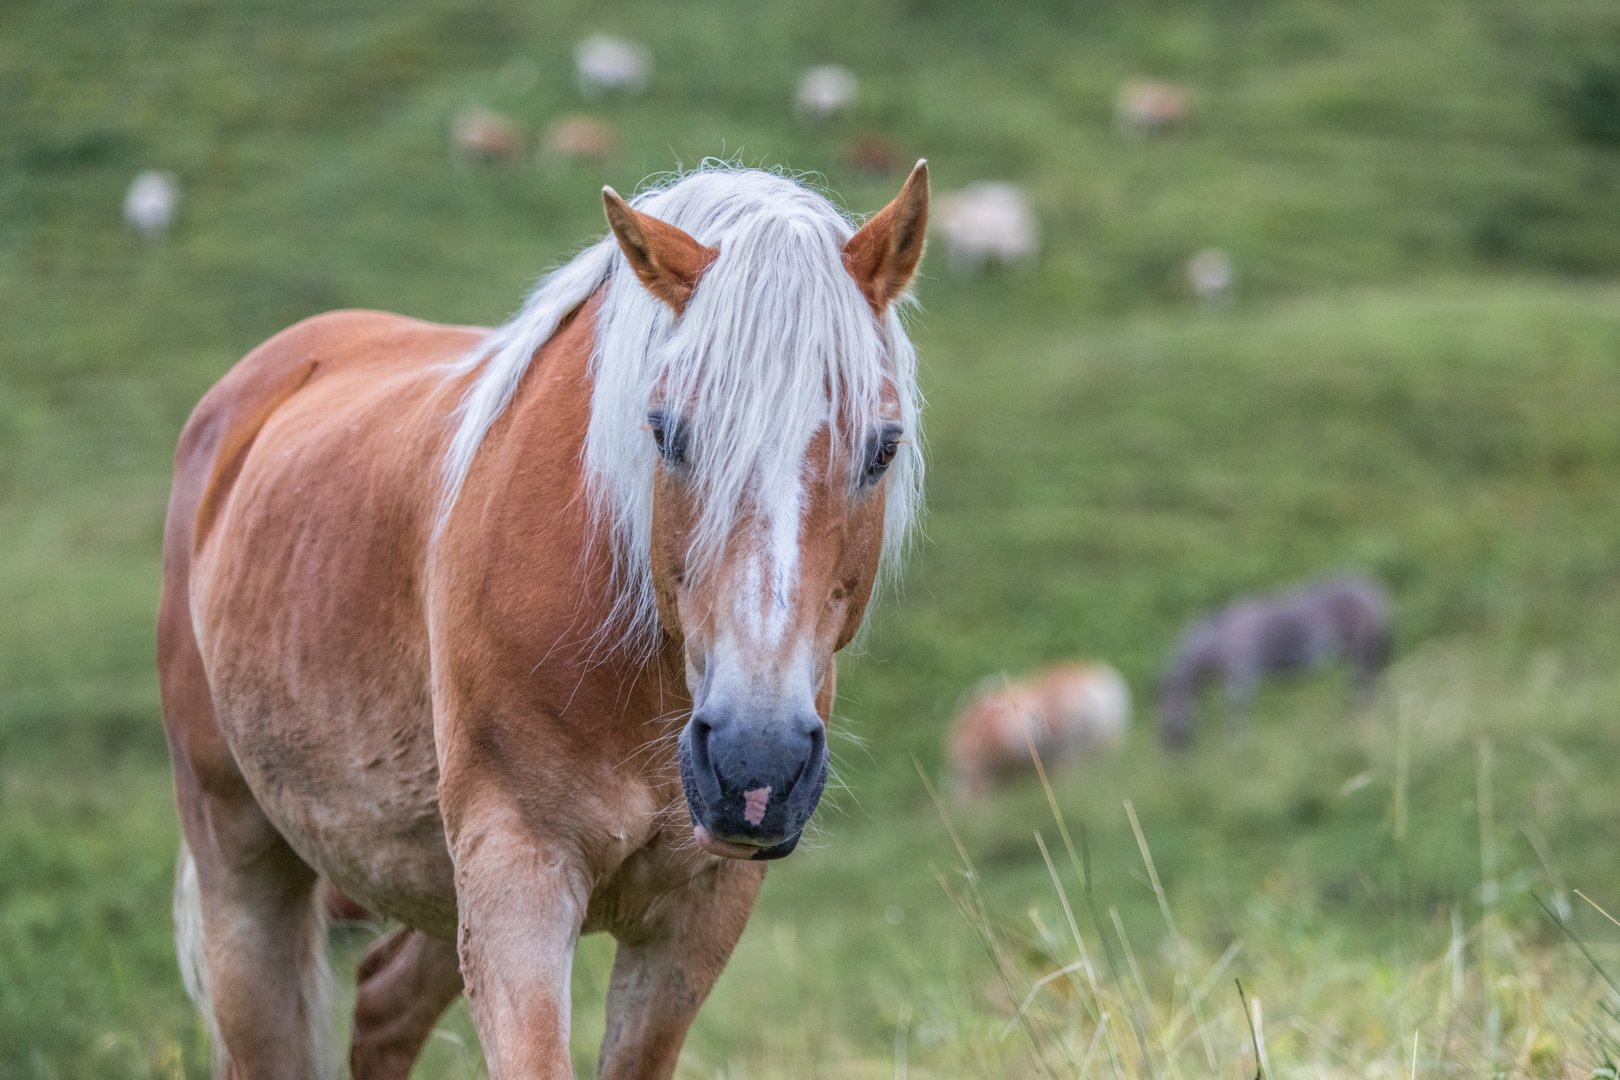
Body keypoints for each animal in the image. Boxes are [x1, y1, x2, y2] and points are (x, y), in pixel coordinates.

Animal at [157, 162, 929, 1079]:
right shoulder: (518, 878)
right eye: (667, 431)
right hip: (242, 866)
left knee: (382, 1005)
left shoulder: (697, 916)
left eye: (883, 446)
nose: (755, 763)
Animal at [1159, 575, 1392, 749]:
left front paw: (1235, 751)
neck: (1219, 643)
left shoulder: (1240, 681)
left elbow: (1236, 717)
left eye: (1166, 725)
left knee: (1363, 687)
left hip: (1360, 652)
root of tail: (1371, 589)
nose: (1170, 766)